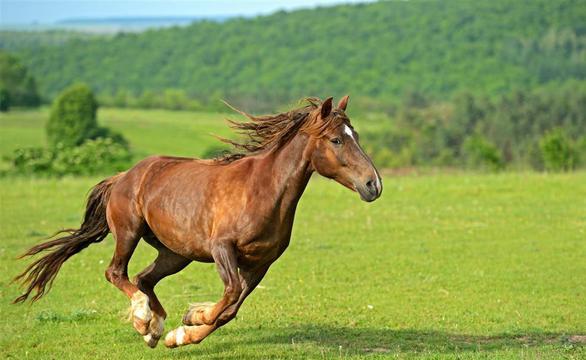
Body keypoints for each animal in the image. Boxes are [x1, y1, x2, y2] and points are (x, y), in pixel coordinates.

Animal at [13, 95, 380, 348]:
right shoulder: (222, 248)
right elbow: (229, 295)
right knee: (116, 273)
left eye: (356, 135)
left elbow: (231, 308)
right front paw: (190, 320)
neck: (262, 190)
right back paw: (143, 319)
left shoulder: (261, 263)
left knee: (144, 279)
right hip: (129, 233)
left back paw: (154, 329)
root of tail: (123, 176)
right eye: (336, 139)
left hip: (176, 254)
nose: (373, 184)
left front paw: (181, 331)